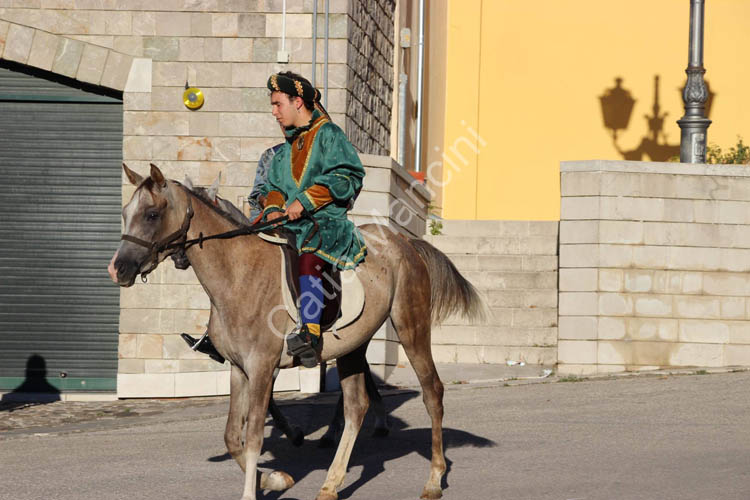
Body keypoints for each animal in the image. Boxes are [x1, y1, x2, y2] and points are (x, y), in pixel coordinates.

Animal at [107, 164, 488, 500]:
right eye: (125, 213)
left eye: (152, 214)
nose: (118, 268)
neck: (238, 274)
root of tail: (402, 241)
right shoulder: (239, 369)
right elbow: (232, 436)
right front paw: (274, 478)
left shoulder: (262, 368)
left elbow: (254, 436)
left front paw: (255, 489)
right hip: (353, 346)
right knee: (356, 406)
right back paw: (332, 483)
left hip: (411, 326)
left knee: (432, 393)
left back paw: (434, 479)